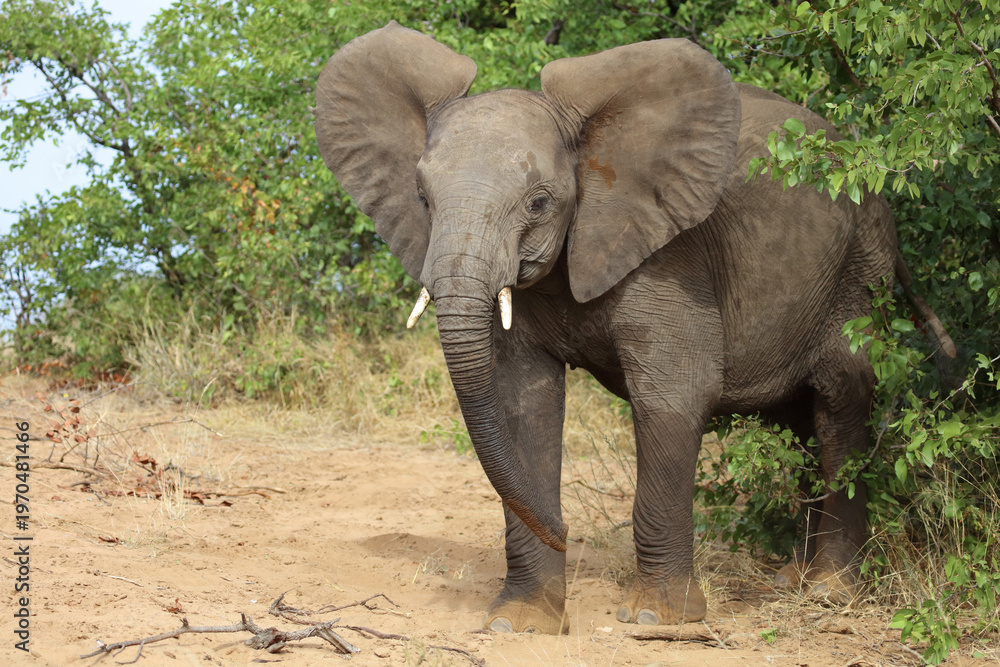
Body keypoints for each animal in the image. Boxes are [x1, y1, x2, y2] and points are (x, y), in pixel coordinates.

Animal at [313, 22, 955, 634]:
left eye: (539, 203)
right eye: (422, 198)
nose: (563, 531)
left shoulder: (674, 257)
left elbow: (673, 394)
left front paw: (657, 618)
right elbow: (521, 401)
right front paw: (518, 623)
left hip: (859, 269)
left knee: (839, 401)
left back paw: (829, 591)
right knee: (800, 419)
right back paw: (794, 578)